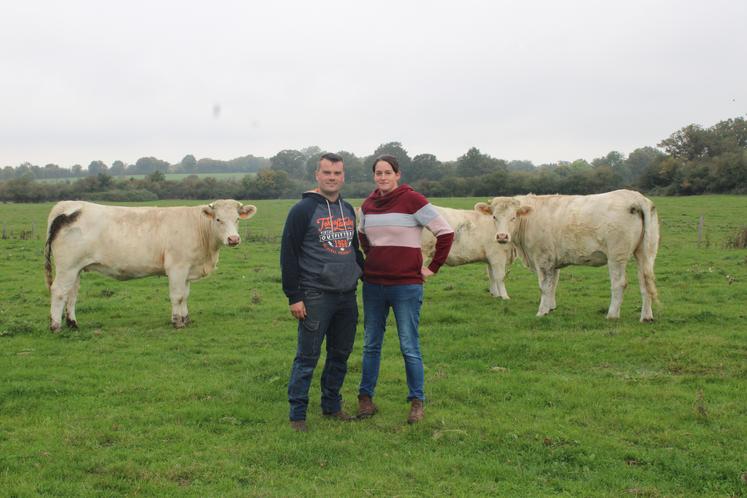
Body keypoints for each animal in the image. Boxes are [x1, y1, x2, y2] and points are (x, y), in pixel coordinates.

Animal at [46, 198, 258, 330]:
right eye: (218, 219)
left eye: (237, 219)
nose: (233, 239)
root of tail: (68, 206)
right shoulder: (177, 267)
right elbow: (177, 296)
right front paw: (177, 322)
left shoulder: (187, 269)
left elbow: (185, 296)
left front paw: (186, 318)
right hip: (67, 267)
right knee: (58, 291)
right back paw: (55, 326)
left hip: (76, 269)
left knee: (71, 294)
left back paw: (73, 324)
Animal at [476, 189, 656, 320]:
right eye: (494, 216)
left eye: (513, 217)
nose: (502, 236)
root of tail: (634, 196)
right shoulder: (553, 262)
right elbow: (553, 284)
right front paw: (550, 308)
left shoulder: (544, 259)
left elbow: (544, 286)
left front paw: (541, 312)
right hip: (645, 253)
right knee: (645, 282)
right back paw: (646, 316)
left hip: (616, 255)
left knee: (619, 284)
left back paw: (612, 315)